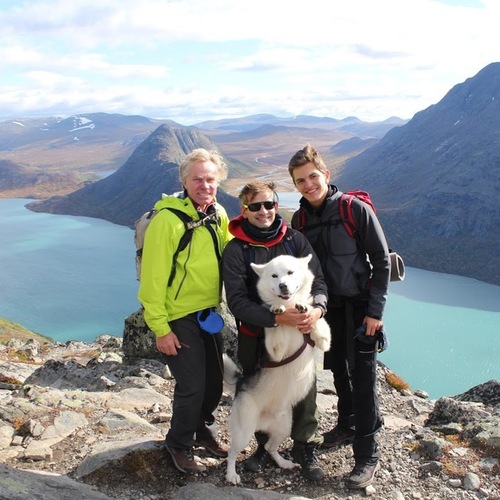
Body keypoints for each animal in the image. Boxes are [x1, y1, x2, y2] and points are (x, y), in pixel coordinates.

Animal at [227, 254, 332, 484]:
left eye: (290, 272)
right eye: (274, 276)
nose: (283, 285)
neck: (290, 305)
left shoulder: (324, 342)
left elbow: (319, 327)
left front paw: (306, 310)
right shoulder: (276, 351)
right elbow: (276, 325)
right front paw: (277, 309)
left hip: (284, 428)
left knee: (269, 446)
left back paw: (284, 463)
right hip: (244, 431)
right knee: (232, 452)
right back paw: (231, 474)